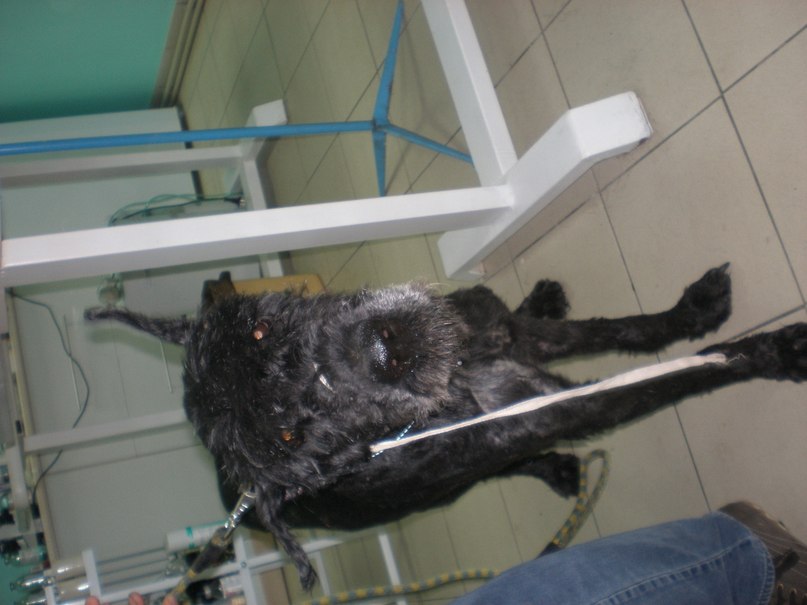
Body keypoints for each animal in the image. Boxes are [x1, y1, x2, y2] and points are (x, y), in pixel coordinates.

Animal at [86, 264, 807, 588]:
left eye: (258, 329)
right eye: (292, 437)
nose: (386, 349)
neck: (458, 382)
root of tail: (233, 500)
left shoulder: (513, 336)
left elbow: (627, 330)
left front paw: (695, 308)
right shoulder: (569, 405)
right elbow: (681, 373)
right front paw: (775, 351)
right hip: (444, 488)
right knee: (500, 468)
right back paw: (553, 467)